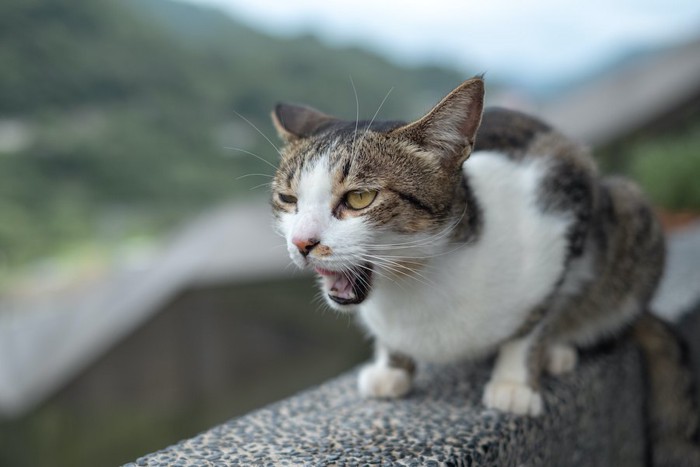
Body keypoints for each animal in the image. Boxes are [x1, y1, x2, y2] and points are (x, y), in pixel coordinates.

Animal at [270, 77, 700, 467]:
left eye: (360, 197)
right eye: (287, 199)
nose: (302, 243)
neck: (417, 281)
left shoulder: (563, 201)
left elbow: (534, 322)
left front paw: (513, 382)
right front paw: (391, 368)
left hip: (630, 210)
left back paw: (559, 349)